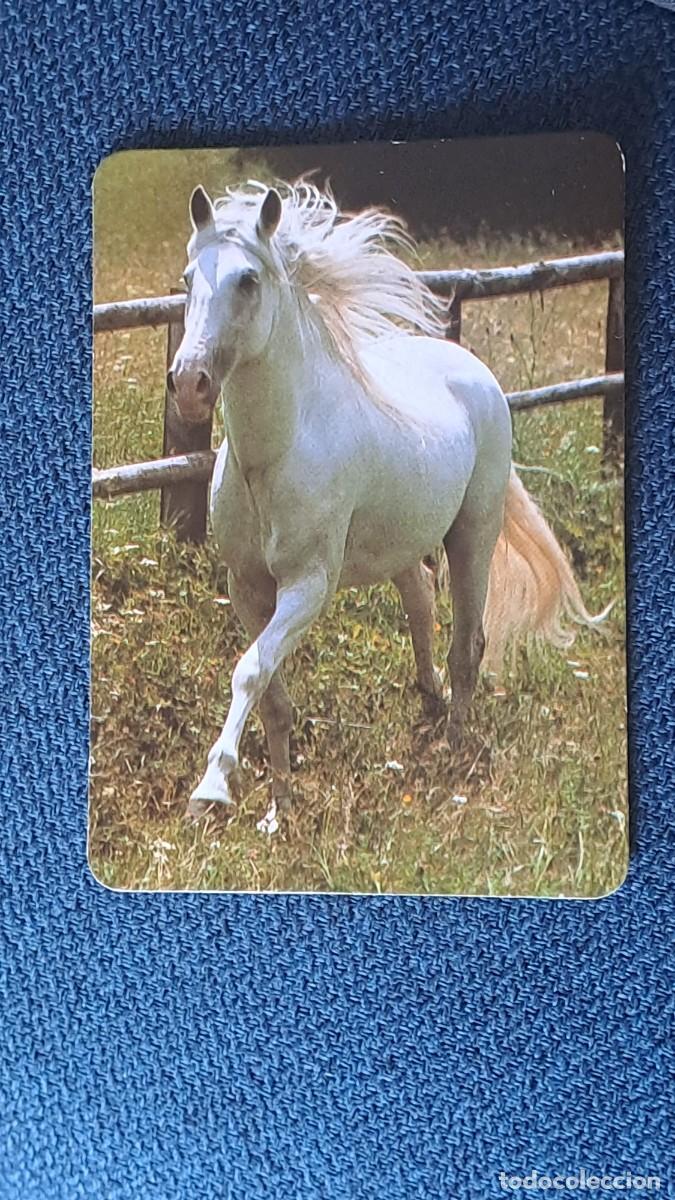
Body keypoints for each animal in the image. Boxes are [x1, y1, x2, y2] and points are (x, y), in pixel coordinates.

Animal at [167, 180, 604, 824]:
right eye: (187, 278)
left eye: (248, 279)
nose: (189, 382)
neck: (275, 454)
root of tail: (473, 371)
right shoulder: (246, 586)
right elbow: (271, 693)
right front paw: (277, 810)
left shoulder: (307, 586)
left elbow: (250, 672)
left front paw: (211, 790)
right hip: (402, 544)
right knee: (421, 608)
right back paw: (428, 708)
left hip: (472, 534)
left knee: (467, 645)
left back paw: (453, 749)